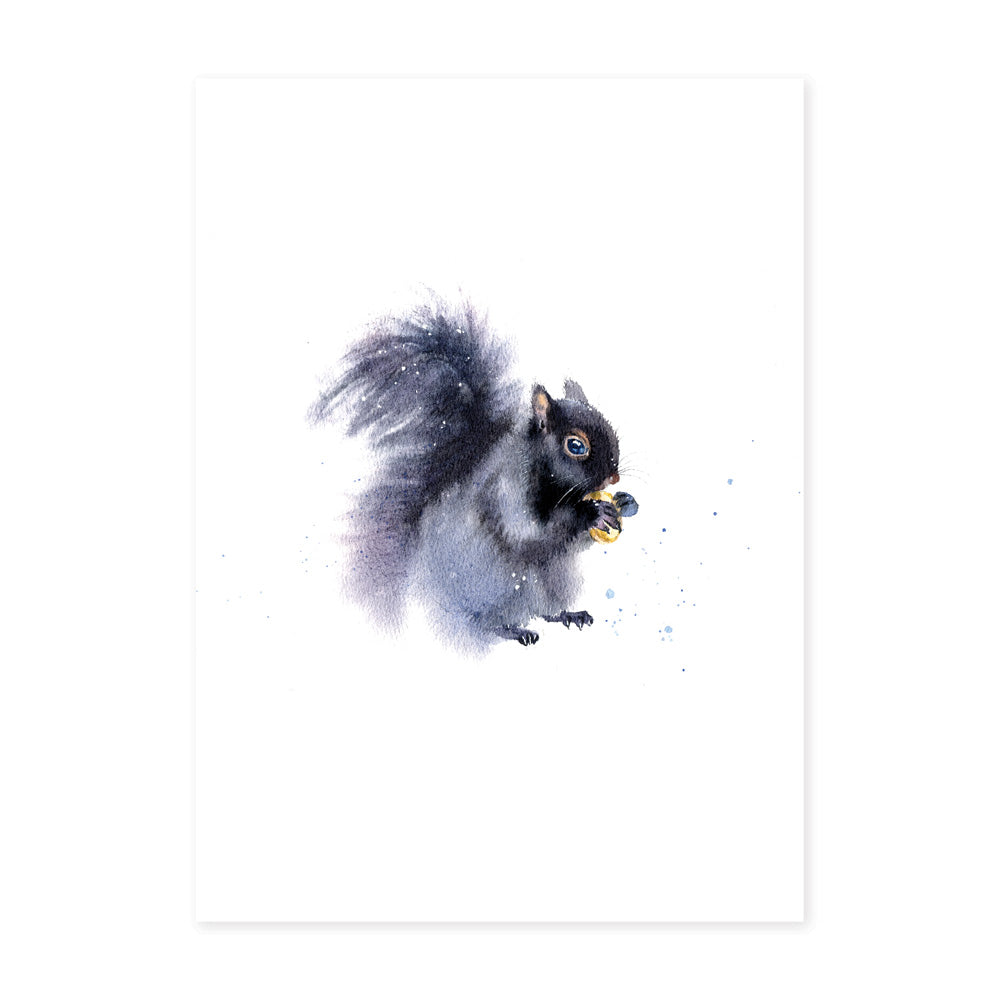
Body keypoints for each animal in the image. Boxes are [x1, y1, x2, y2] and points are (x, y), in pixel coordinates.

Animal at [309, 295, 637, 651]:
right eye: (576, 445)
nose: (613, 478)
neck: (556, 484)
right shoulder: (507, 486)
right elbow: (527, 531)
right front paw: (591, 512)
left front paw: (622, 503)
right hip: (493, 583)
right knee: (482, 620)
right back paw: (512, 630)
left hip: (554, 580)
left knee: (543, 607)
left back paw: (568, 613)